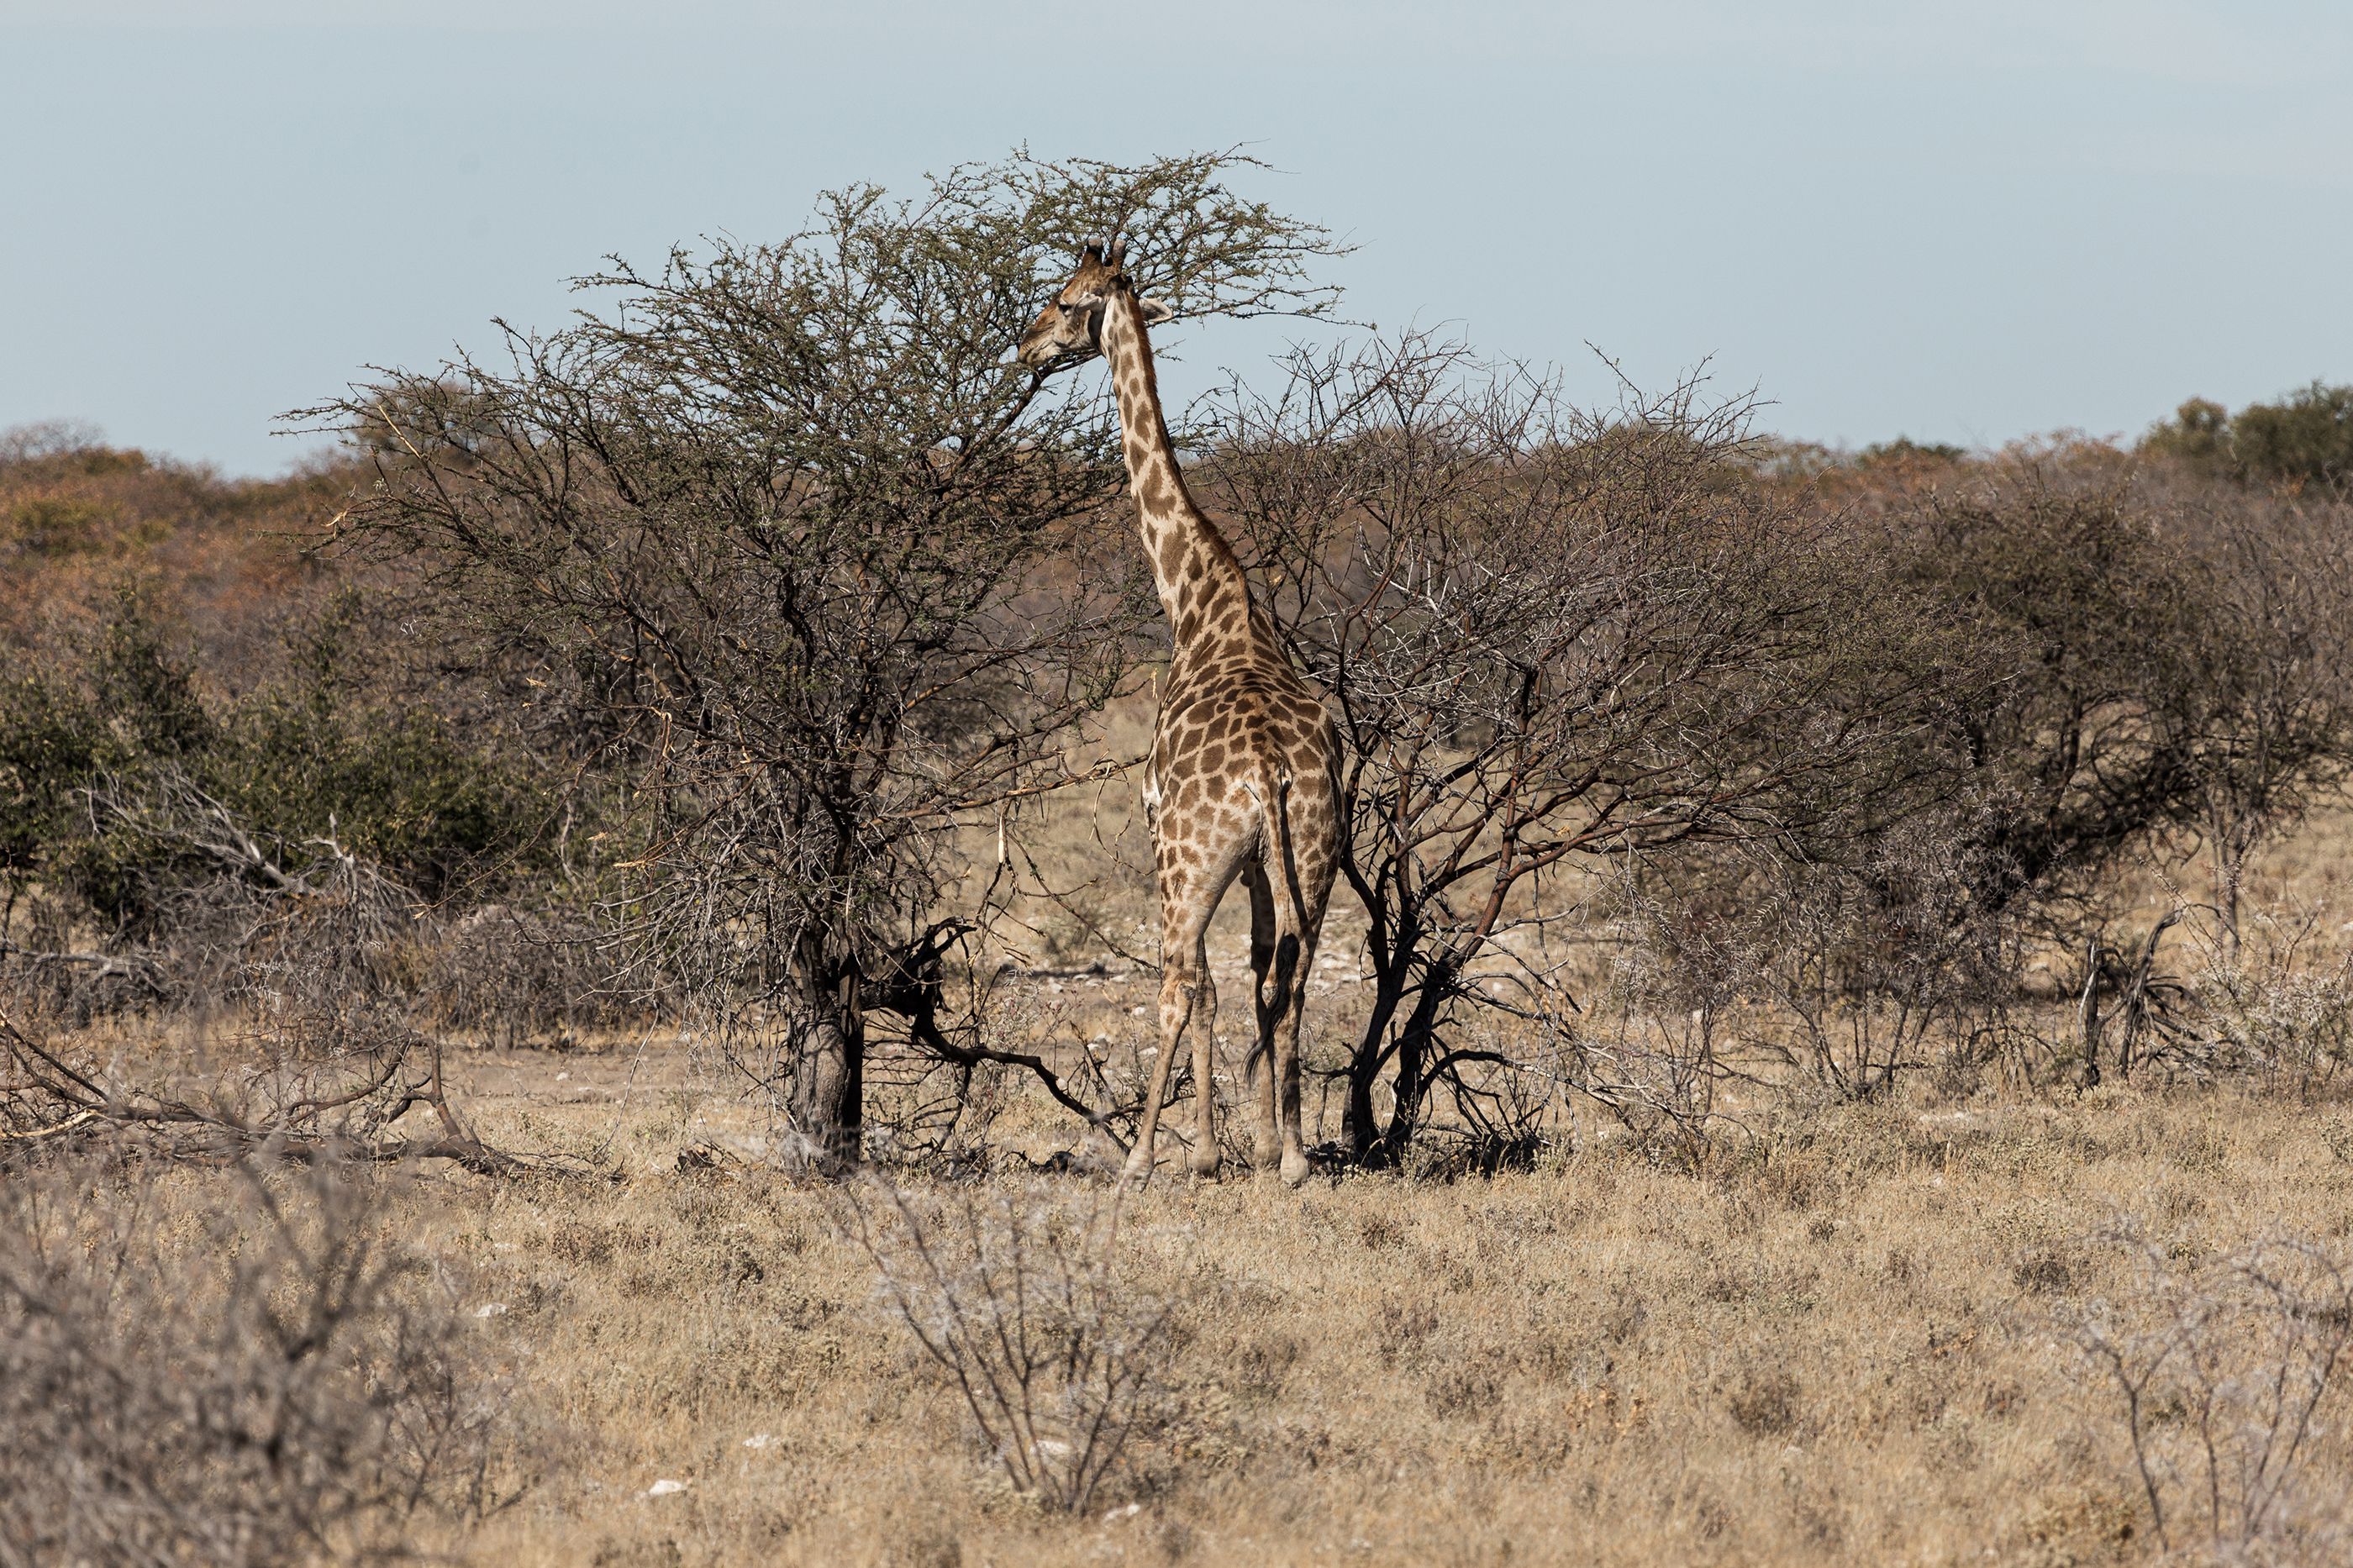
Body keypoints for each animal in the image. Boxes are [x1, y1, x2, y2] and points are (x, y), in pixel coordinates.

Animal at [1017, 239, 1342, 1188]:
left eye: (1064, 300)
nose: (1027, 344)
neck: (1195, 604)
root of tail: (1269, 764)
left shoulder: (1162, 828)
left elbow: (1200, 984)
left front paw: (1197, 1152)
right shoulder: (1263, 866)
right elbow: (1252, 978)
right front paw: (1259, 1142)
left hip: (1184, 862)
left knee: (1173, 983)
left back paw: (1138, 1159)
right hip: (1316, 855)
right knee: (1291, 982)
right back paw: (1296, 1159)